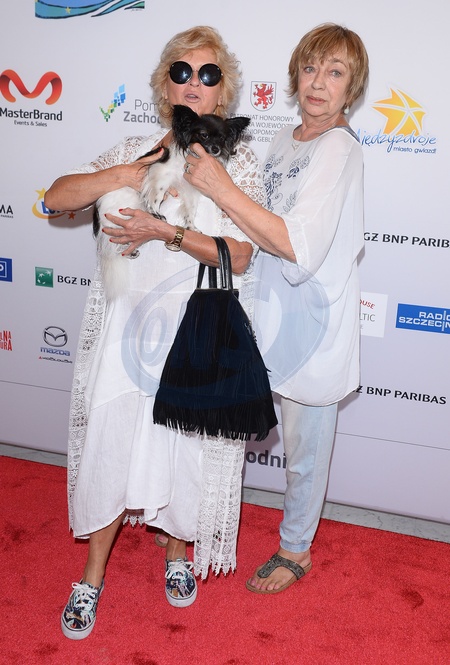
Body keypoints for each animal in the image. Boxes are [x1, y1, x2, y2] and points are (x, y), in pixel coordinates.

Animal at [94, 105, 250, 300]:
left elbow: (190, 212)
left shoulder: (191, 191)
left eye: (221, 138)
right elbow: (156, 197)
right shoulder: (160, 175)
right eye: (204, 135)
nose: (215, 149)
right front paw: (155, 213)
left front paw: (192, 228)